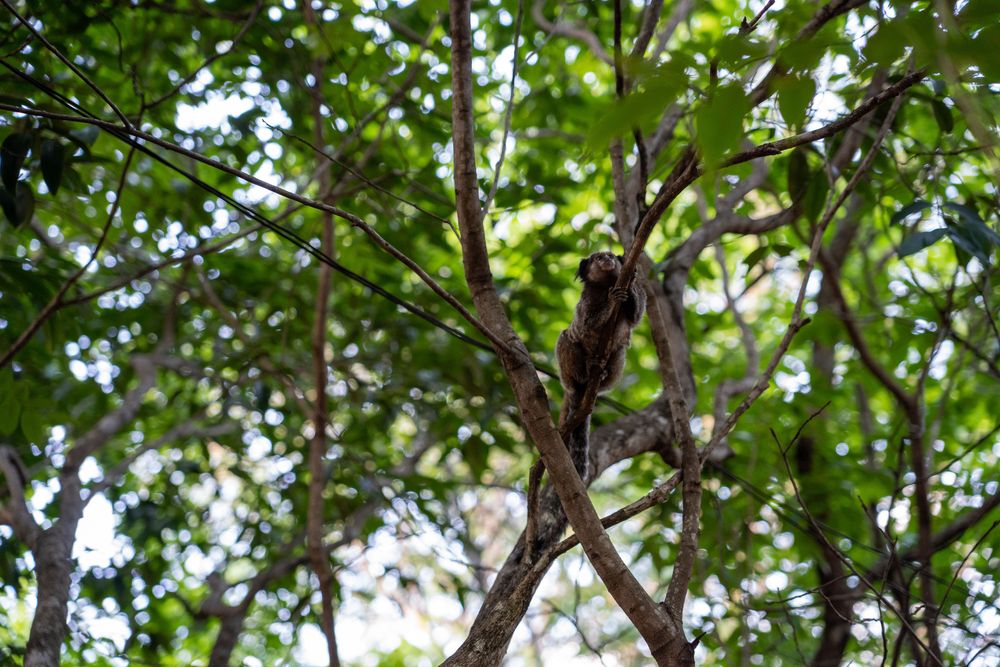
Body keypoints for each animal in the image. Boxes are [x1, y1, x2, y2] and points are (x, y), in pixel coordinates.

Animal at [555, 251, 646, 480]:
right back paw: (587, 370)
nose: (607, 260)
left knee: (620, 351)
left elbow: (636, 316)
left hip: (615, 360)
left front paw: (630, 283)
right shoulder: (585, 302)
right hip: (567, 374)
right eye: (597, 258)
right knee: (566, 337)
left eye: (611, 255)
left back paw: (602, 373)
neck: (606, 286)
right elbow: (587, 322)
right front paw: (612, 300)